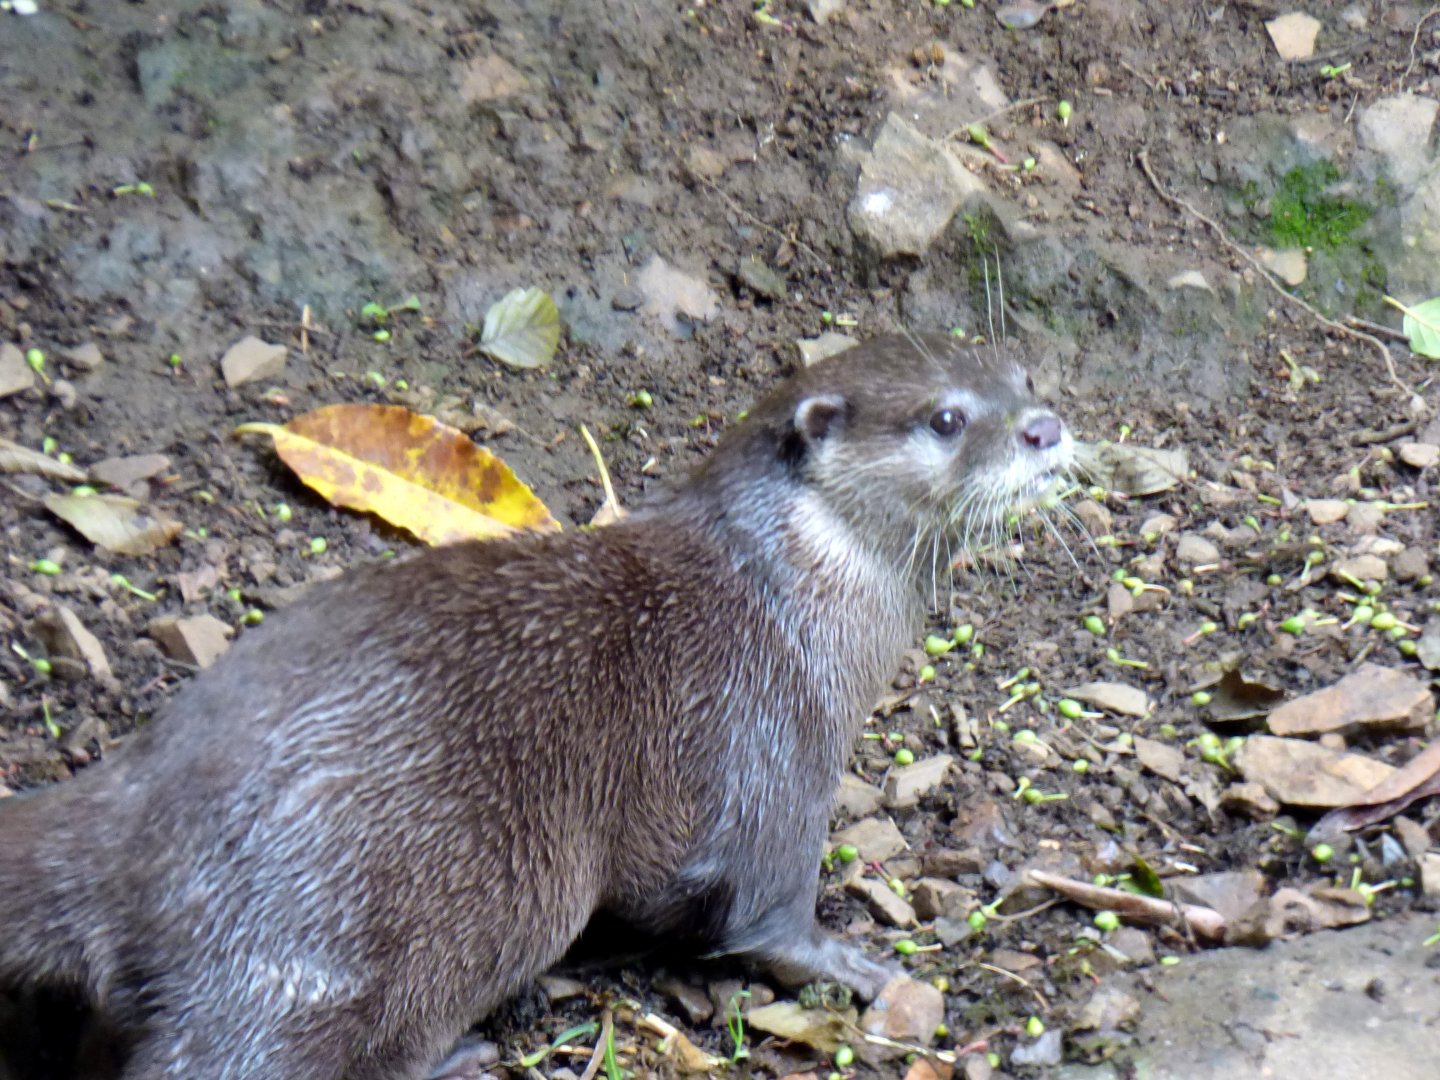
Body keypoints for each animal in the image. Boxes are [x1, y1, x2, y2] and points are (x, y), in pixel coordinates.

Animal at [0, 334, 1071, 1079]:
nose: (1046, 427)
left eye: (1022, 373)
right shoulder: (771, 737)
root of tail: (133, 821)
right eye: (944, 419)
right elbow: (763, 910)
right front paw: (855, 966)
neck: (784, 594)